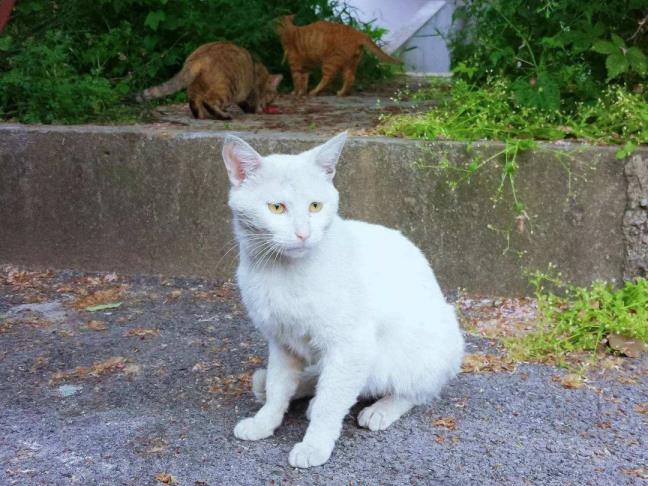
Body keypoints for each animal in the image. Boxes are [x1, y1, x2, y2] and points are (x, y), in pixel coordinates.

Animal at [138, 43, 282, 120]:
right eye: (272, 97)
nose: (269, 104)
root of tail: (199, 57)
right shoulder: (249, 93)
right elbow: (249, 104)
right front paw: (255, 109)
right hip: (227, 87)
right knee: (209, 100)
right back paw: (223, 116)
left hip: (195, 87)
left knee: (195, 102)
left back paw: (201, 115)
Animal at [220, 132, 464, 468]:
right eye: (277, 208)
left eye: (315, 206)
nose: (303, 234)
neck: (281, 271)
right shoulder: (281, 342)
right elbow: (278, 387)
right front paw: (265, 421)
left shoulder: (351, 346)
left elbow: (329, 403)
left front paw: (314, 445)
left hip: (423, 349)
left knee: (415, 391)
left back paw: (381, 409)